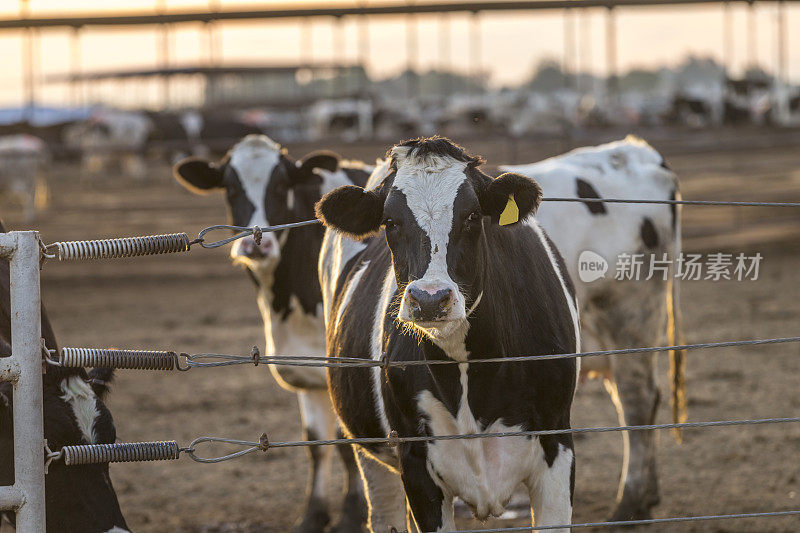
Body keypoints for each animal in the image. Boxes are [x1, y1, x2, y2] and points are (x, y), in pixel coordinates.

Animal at [174, 134, 372, 532]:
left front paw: (352, 514)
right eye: (231, 188)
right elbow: (316, 444)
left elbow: (346, 441)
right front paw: (313, 515)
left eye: (281, 187)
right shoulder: (305, 369)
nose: (257, 243)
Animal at [314, 138, 580, 532]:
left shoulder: (557, 443)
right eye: (390, 221)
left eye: (472, 216)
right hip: (372, 454)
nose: (430, 298)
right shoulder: (415, 462)